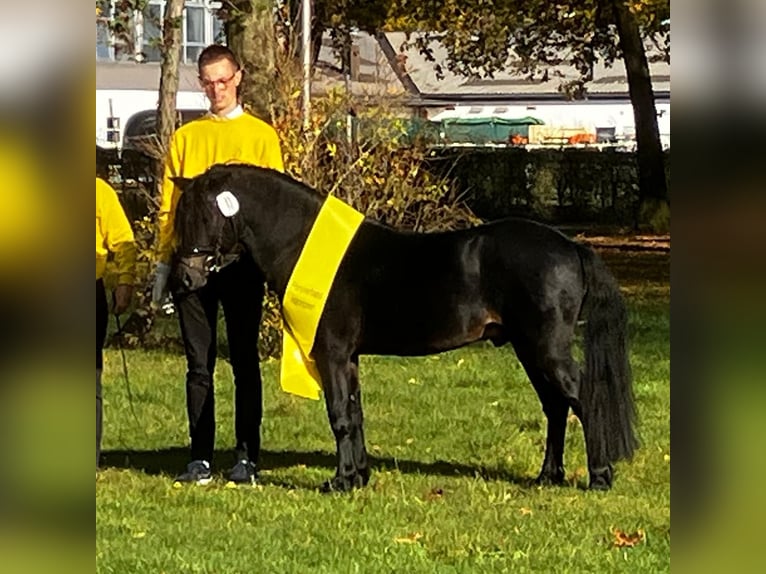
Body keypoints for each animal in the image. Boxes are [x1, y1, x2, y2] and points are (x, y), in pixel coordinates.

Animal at [174, 164, 640, 492]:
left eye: (204, 215)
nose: (186, 279)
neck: (304, 243)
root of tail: (570, 246)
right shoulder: (350, 359)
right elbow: (355, 413)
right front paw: (358, 476)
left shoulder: (332, 354)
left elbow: (339, 414)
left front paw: (339, 483)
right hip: (528, 349)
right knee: (556, 406)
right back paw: (548, 476)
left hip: (546, 348)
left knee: (581, 399)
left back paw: (599, 477)